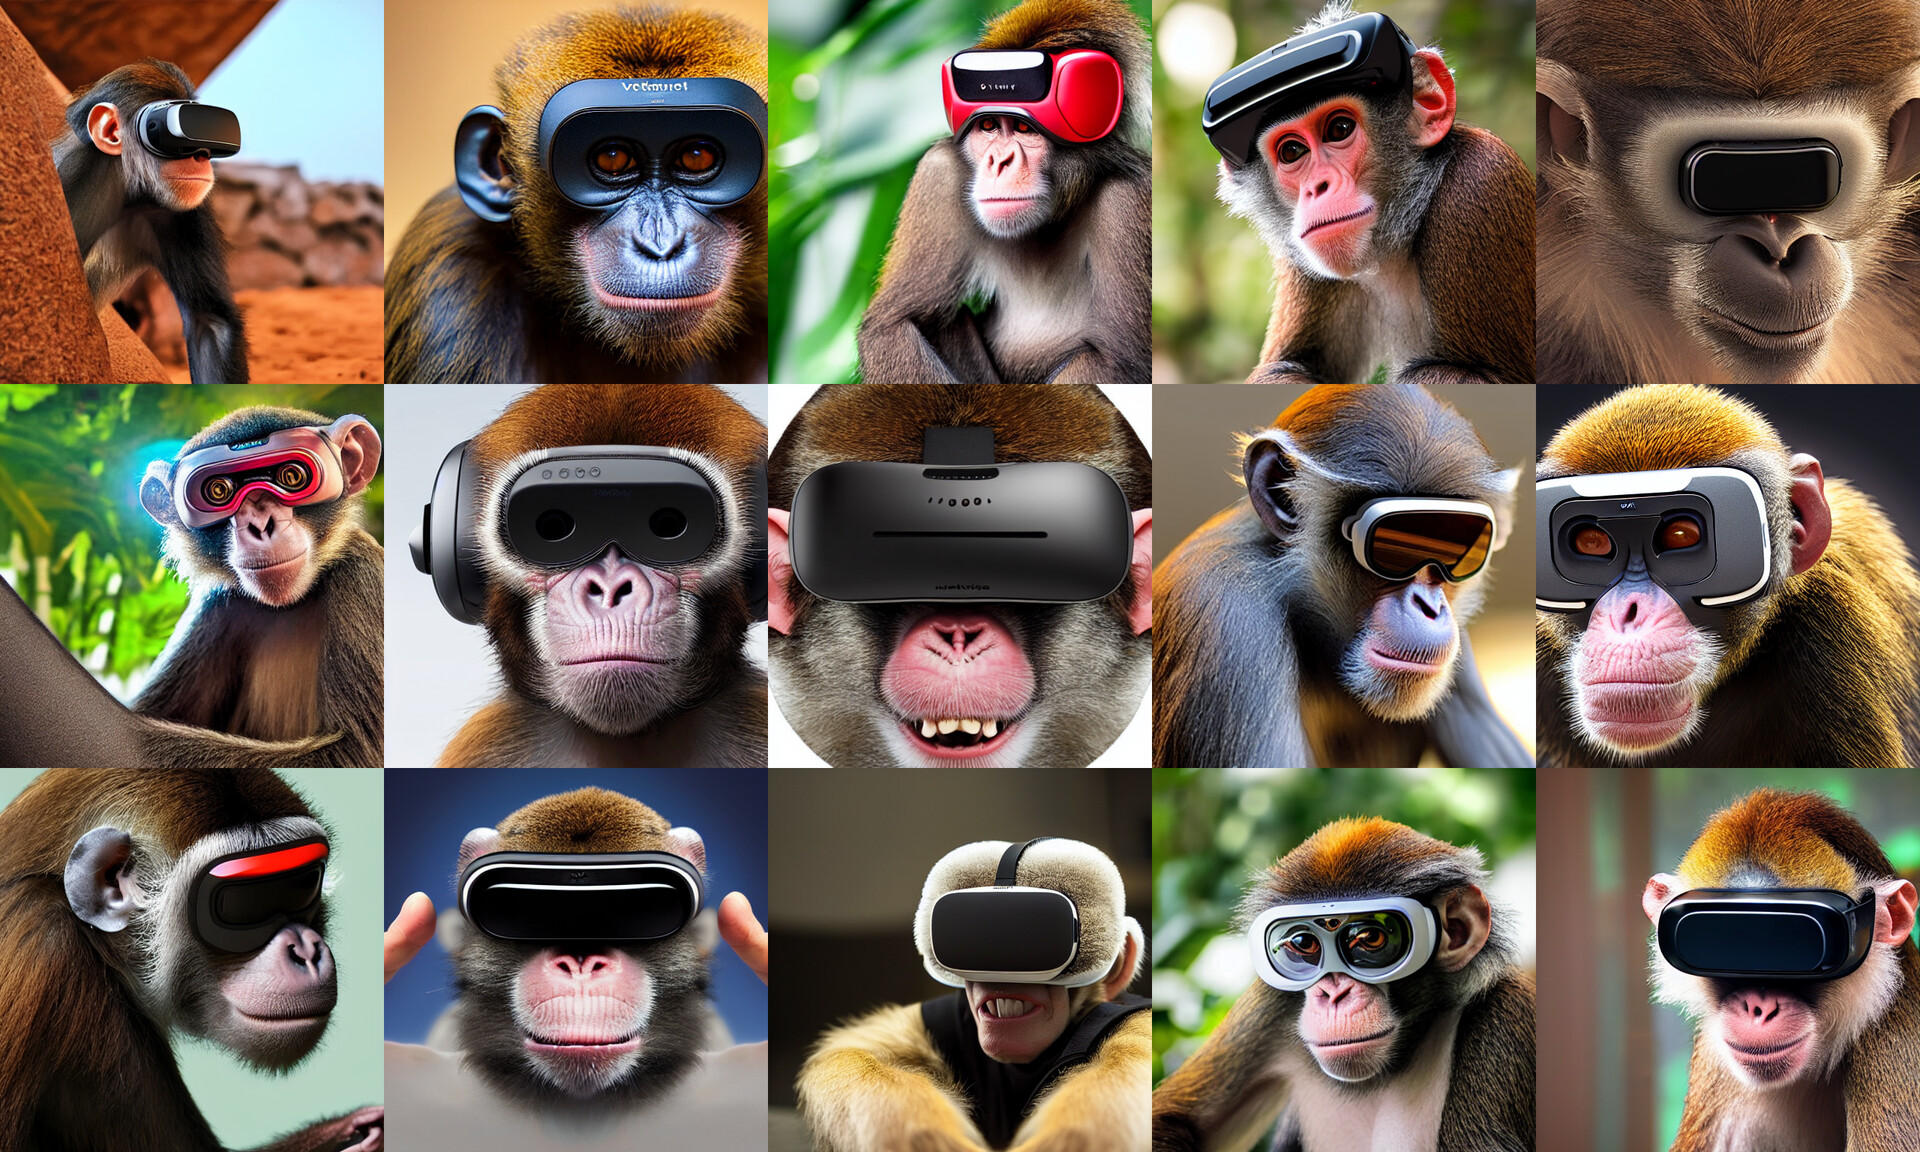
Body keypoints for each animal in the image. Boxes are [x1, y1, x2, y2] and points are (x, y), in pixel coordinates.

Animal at [52, 60, 249, 384]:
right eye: (166, 128)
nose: (203, 154)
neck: (128, 189)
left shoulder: (184, 215)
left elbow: (209, 323)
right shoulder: (74, 174)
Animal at [135, 406, 384, 769]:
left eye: (291, 476)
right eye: (218, 491)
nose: (261, 526)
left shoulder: (362, 579)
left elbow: (354, 753)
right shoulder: (217, 607)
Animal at [855, 0, 1151, 386]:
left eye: (1024, 128)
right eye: (989, 125)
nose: (999, 162)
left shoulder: (1128, 202)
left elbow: (1116, 361)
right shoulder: (939, 174)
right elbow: (893, 325)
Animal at [1152, 817, 1534, 1152]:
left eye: (1370, 938)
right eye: (1303, 943)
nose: (1333, 993)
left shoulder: (1504, 1021)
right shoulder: (1270, 1002)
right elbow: (1173, 1117)